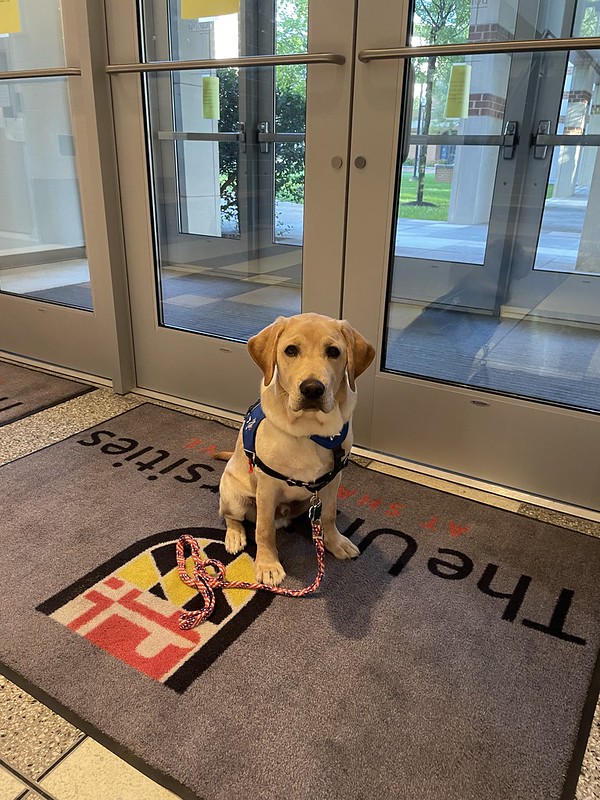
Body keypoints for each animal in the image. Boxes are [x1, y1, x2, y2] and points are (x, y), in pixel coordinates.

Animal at [218, 314, 372, 588]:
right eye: (290, 350)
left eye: (333, 352)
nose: (312, 388)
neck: (310, 431)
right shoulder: (267, 487)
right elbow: (264, 529)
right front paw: (268, 565)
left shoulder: (333, 480)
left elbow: (329, 516)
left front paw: (335, 542)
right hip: (233, 495)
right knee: (232, 516)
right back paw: (235, 536)